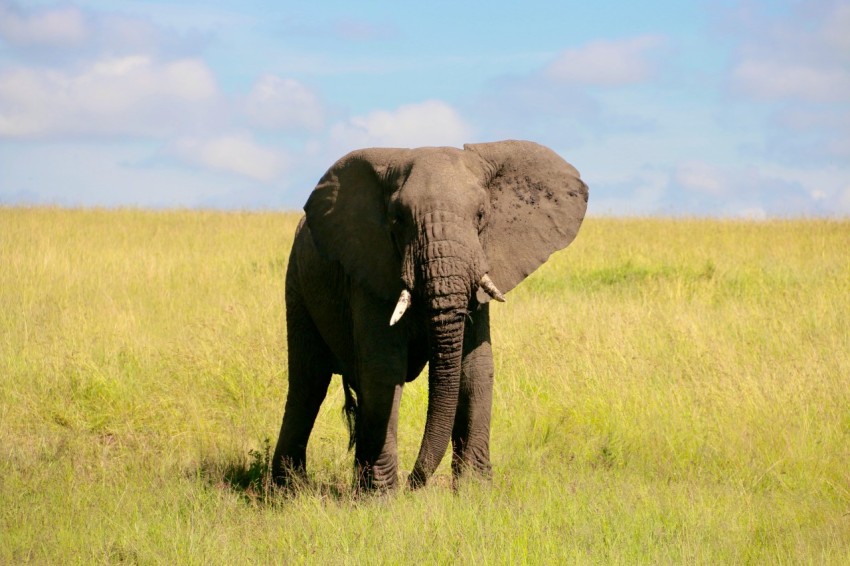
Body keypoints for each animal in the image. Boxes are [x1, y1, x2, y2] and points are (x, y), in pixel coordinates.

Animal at [271, 139, 588, 491]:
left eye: (481, 215)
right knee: (308, 384)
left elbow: (475, 369)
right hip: (296, 283)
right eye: (398, 219)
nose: (413, 483)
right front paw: (383, 497)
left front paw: (474, 492)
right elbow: (384, 368)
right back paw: (287, 490)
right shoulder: (370, 269)